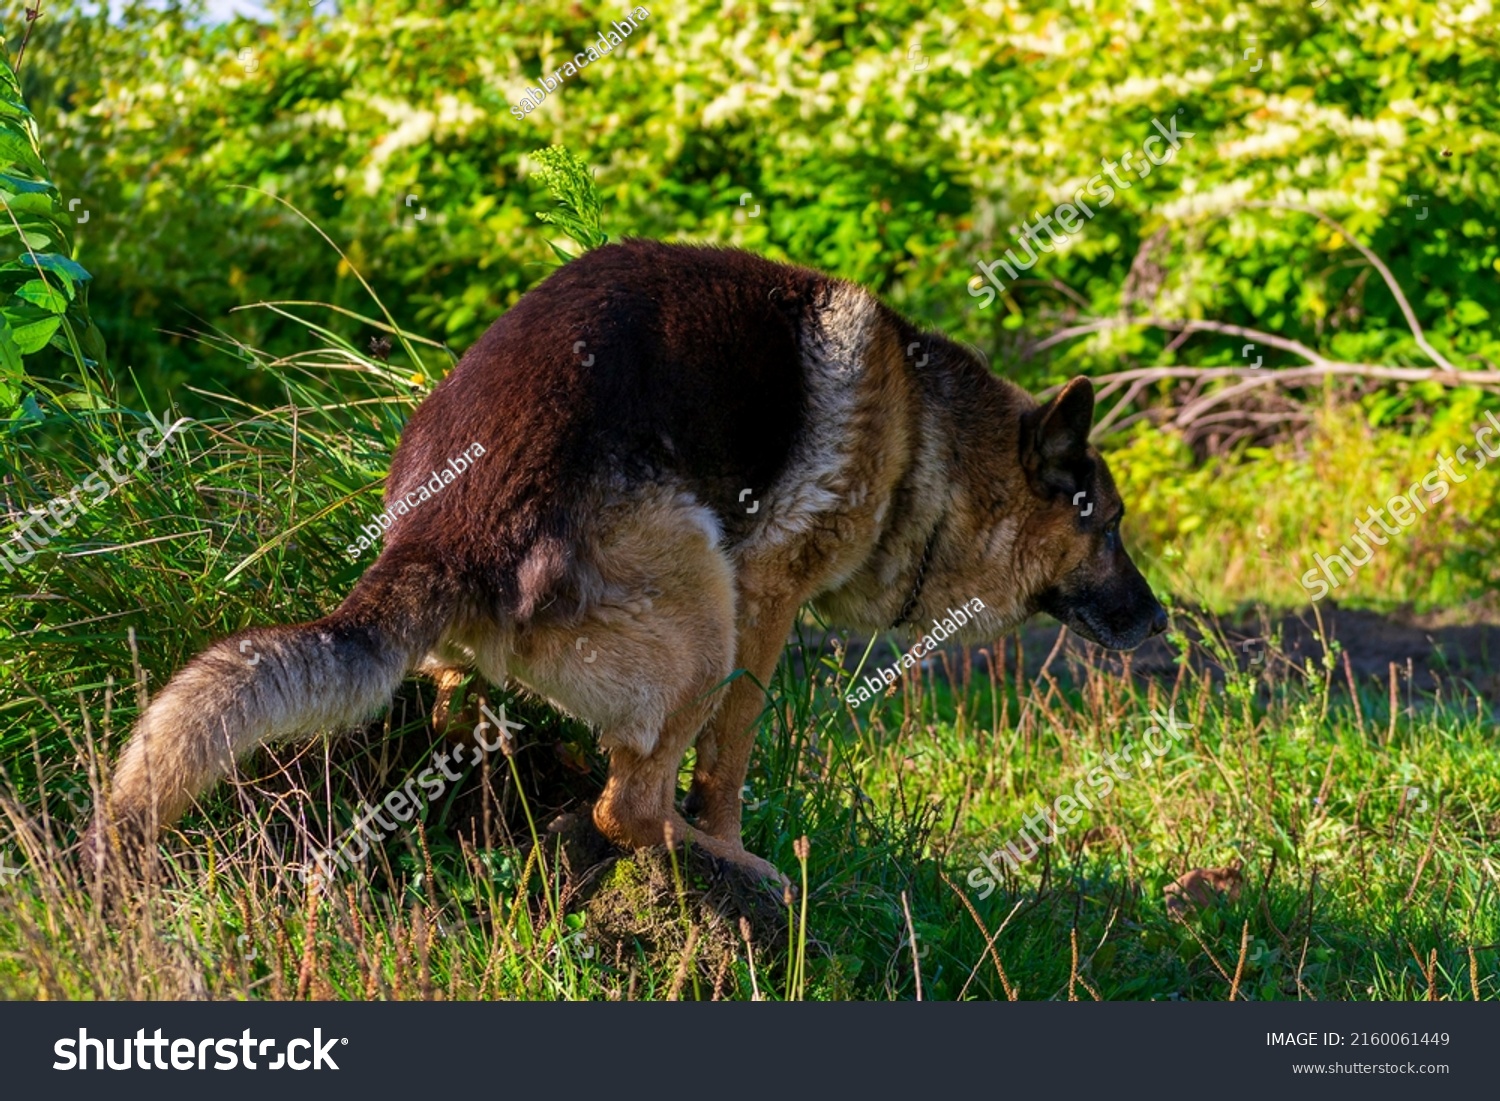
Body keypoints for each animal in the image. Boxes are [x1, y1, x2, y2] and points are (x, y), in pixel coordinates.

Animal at [85, 241, 1170, 888]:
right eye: (1108, 524)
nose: (1161, 622)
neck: (927, 441)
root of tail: (456, 526)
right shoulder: (768, 603)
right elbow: (727, 760)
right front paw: (729, 838)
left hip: (481, 645)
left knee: (461, 715)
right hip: (706, 627)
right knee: (629, 807)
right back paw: (719, 866)